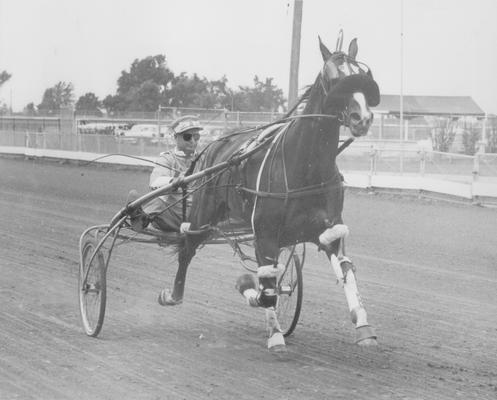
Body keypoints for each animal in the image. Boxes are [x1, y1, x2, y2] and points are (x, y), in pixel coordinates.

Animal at [157, 34, 378, 352]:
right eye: (332, 76)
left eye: (362, 72)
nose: (363, 117)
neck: (304, 164)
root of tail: (215, 144)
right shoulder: (265, 233)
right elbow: (267, 291)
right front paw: (272, 331)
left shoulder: (327, 228)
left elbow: (345, 272)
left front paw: (363, 327)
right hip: (203, 215)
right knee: (187, 246)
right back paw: (173, 295)